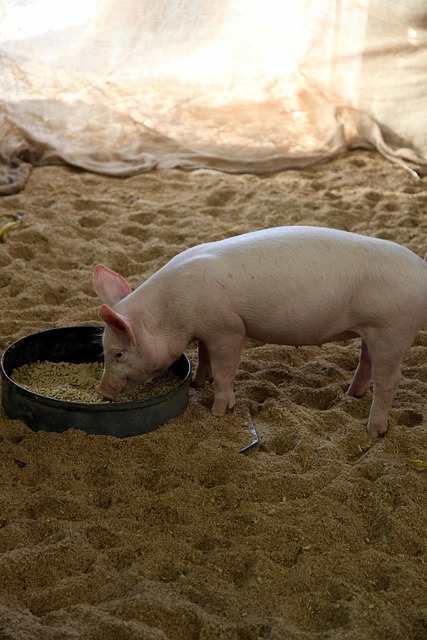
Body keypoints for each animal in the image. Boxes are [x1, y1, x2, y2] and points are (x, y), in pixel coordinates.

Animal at [93, 226, 427, 438]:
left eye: (118, 353)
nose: (102, 391)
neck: (171, 313)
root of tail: (422, 269)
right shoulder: (207, 330)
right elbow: (204, 356)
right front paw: (199, 382)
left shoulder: (227, 329)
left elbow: (225, 371)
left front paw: (218, 412)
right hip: (374, 331)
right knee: (366, 361)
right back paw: (350, 395)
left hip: (392, 329)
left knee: (390, 380)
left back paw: (374, 431)